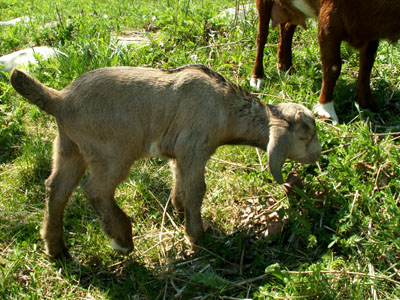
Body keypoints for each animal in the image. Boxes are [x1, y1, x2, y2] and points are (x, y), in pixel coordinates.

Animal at [9, 65, 322, 258]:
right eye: (306, 134)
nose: (318, 155)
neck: (226, 108)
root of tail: (60, 99)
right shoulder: (194, 148)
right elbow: (197, 189)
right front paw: (197, 236)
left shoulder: (179, 154)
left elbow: (180, 182)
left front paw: (179, 210)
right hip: (112, 152)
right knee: (95, 189)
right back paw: (122, 239)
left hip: (69, 147)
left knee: (56, 189)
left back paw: (56, 248)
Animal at [270, 0, 400, 122]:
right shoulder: (329, 20)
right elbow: (333, 66)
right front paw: (325, 112)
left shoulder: (371, 33)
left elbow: (367, 64)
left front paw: (367, 104)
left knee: (288, 24)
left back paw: (285, 67)